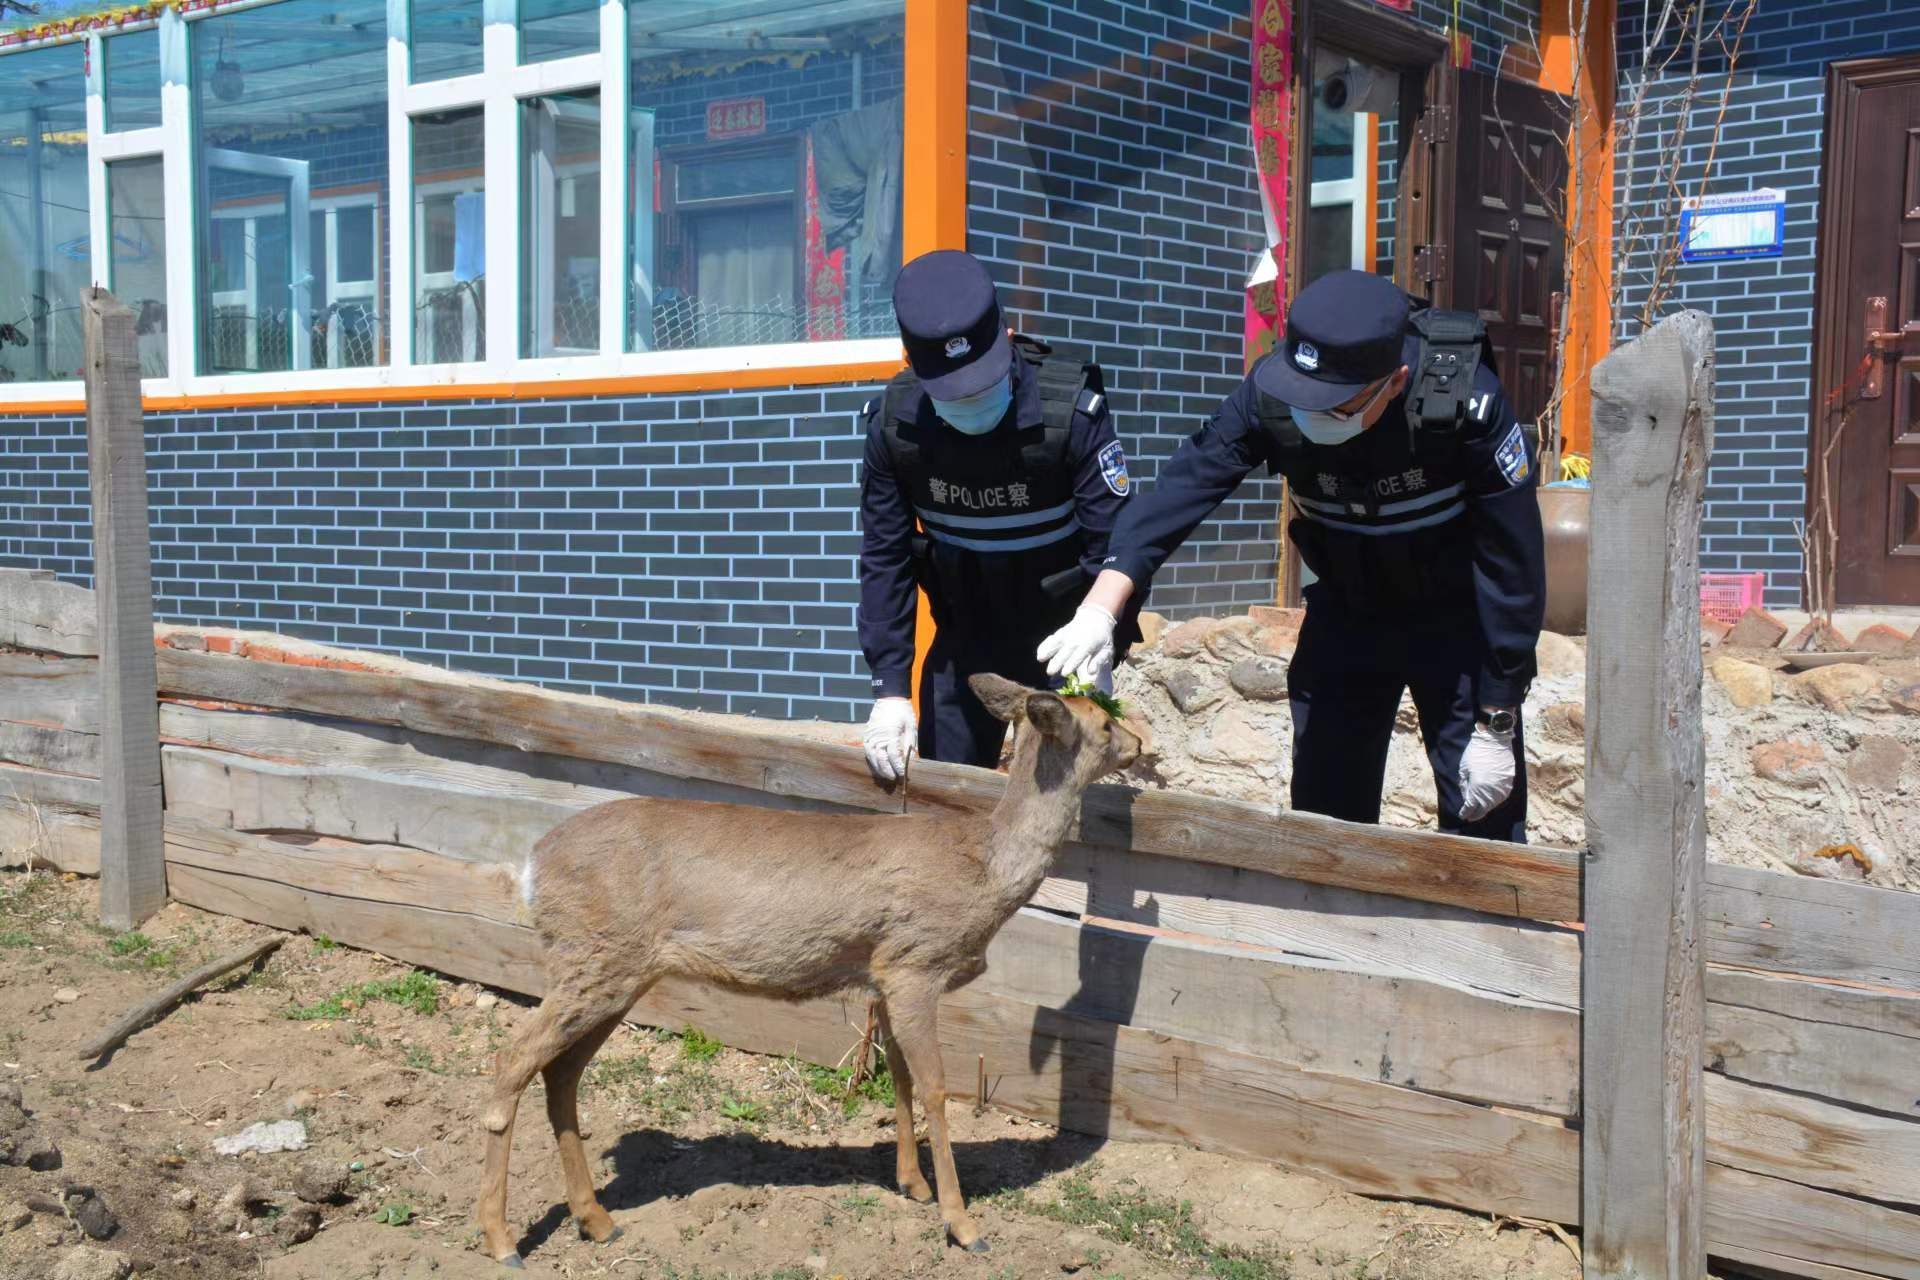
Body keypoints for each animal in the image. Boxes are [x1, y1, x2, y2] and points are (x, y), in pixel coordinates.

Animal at [476, 675, 1152, 1266]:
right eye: (1101, 722)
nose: (1142, 743)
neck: (982, 870)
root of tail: (530, 867)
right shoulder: (915, 963)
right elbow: (936, 1088)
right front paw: (963, 1225)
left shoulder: (882, 974)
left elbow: (900, 1077)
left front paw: (913, 1185)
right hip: (594, 959)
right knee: (511, 1059)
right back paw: (503, 1240)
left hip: (611, 971)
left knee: (559, 1075)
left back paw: (596, 1221)